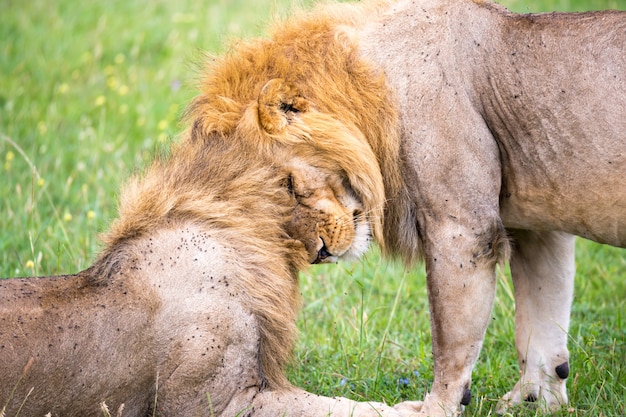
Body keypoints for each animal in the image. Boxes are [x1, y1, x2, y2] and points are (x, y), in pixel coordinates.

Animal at [185, 0, 624, 414]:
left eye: (290, 185)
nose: (319, 254)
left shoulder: (464, 227)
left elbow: (452, 340)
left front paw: (437, 407)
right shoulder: (537, 227)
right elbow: (542, 322)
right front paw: (535, 402)